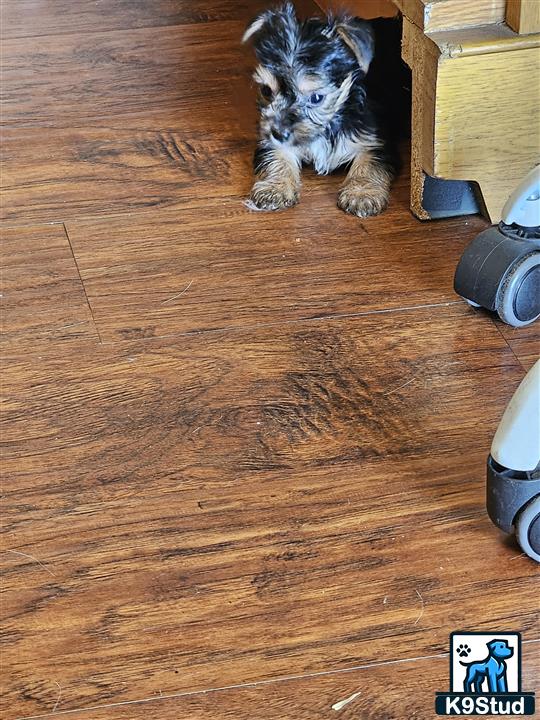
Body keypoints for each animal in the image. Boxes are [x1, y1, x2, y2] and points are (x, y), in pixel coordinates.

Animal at [243, 2, 394, 217]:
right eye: (266, 90)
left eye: (316, 98)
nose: (278, 132)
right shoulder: (271, 140)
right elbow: (276, 155)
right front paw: (275, 188)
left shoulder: (375, 138)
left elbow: (370, 161)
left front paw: (361, 193)